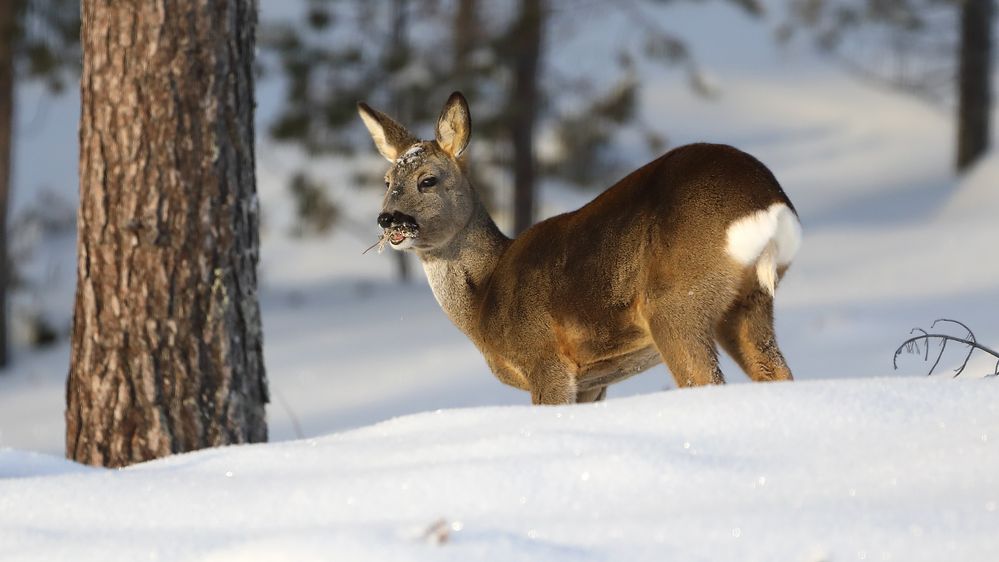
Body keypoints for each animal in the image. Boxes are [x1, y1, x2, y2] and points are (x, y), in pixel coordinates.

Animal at [356, 91, 800, 402]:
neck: (485, 299)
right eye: (386, 182)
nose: (389, 220)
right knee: (778, 374)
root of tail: (768, 202)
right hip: (748, 304)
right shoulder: (593, 380)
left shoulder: (545, 359)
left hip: (677, 301)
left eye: (427, 180)